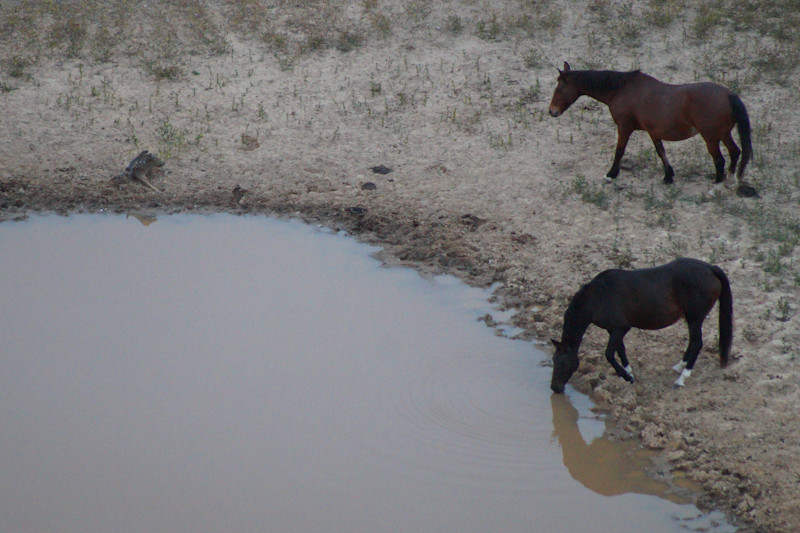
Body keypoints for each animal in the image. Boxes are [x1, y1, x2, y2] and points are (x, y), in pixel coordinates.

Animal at [548, 62, 752, 187]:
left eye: (559, 88)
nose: (552, 111)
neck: (622, 90)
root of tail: (728, 95)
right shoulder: (653, 131)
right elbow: (661, 151)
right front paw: (668, 175)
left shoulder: (624, 127)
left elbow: (619, 151)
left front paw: (611, 174)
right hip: (723, 134)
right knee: (735, 152)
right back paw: (729, 178)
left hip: (710, 137)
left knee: (719, 159)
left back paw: (716, 184)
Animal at [550, 258, 732, 393]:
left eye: (561, 363)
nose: (555, 388)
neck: (597, 297)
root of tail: (710, 268)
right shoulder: (613, 330)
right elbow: (620, 350)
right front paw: (628, 373)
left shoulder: (620, 328)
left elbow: (609, 354)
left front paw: (627, 377)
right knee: (693, 342)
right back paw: (679, 366)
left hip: (695, 318)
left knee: (697, 343)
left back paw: (681, 378)